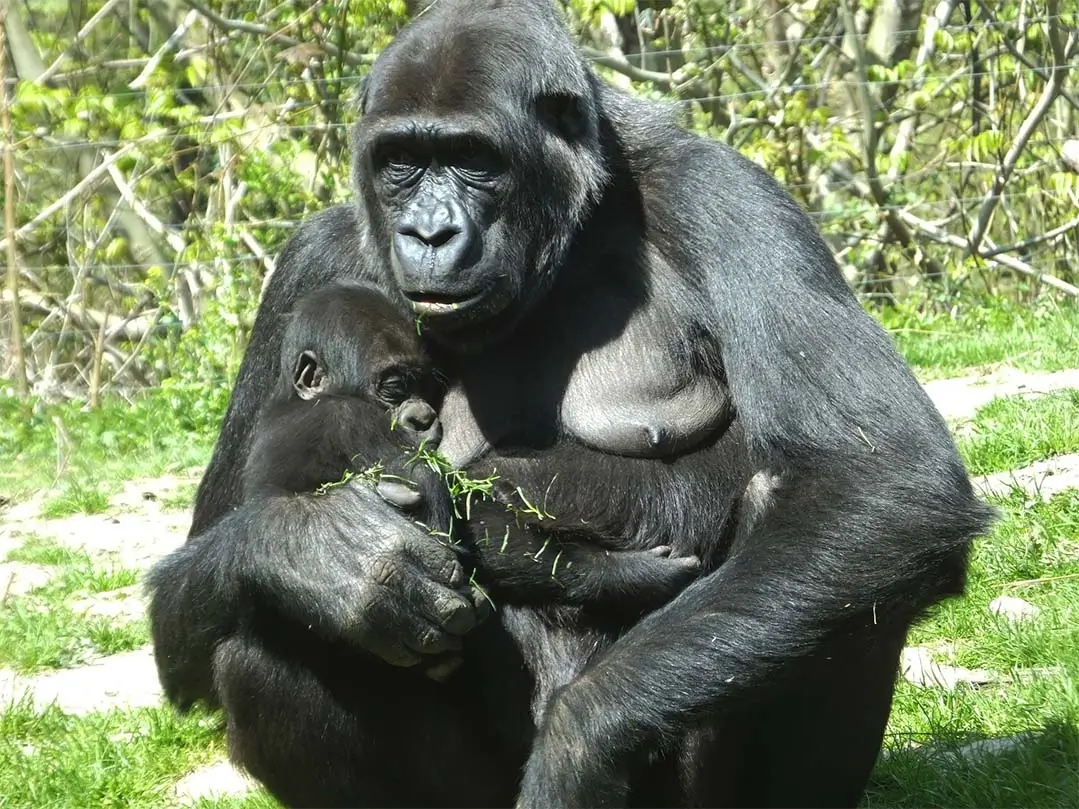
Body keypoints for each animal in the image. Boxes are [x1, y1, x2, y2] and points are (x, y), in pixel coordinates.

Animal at [243, 282, 699, 612]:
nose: (425, 417)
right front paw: (627, 574)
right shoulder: (353, 421)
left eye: (426, 386)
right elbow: (445, 509)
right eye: (394, 388)